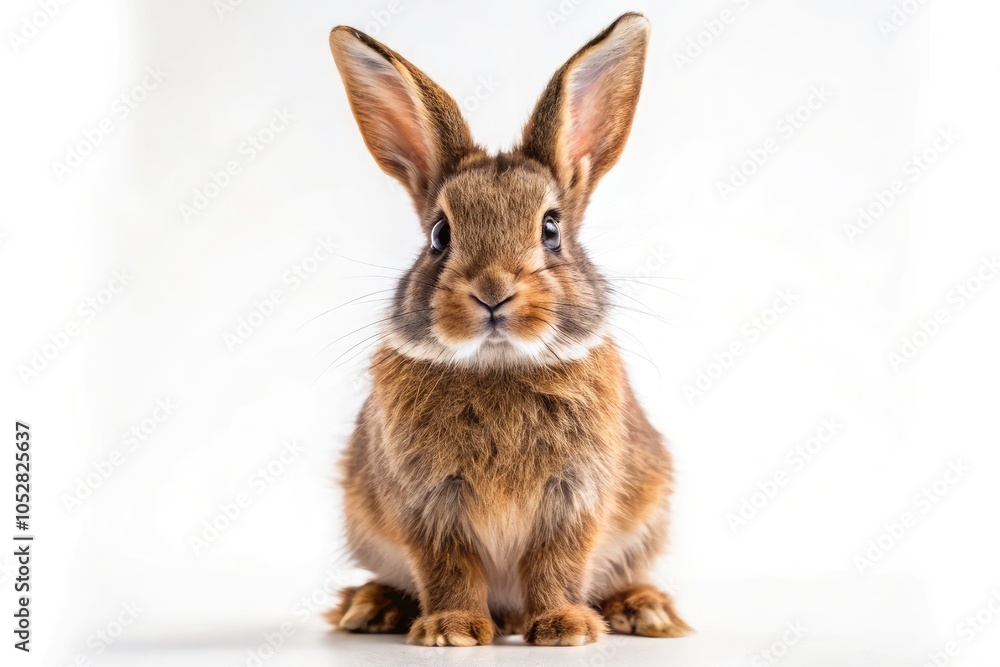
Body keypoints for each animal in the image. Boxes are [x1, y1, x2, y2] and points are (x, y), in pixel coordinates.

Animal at [324, 12, 690, 646]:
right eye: (439, 235)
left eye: (551, 230)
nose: (492, 290)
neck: (497, 363)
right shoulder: (428, 503)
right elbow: (447, 565)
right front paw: (450, 630)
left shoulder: (572, 498)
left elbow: (556, 562)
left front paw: (566, 629)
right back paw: (374, 607)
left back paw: (644, 609)